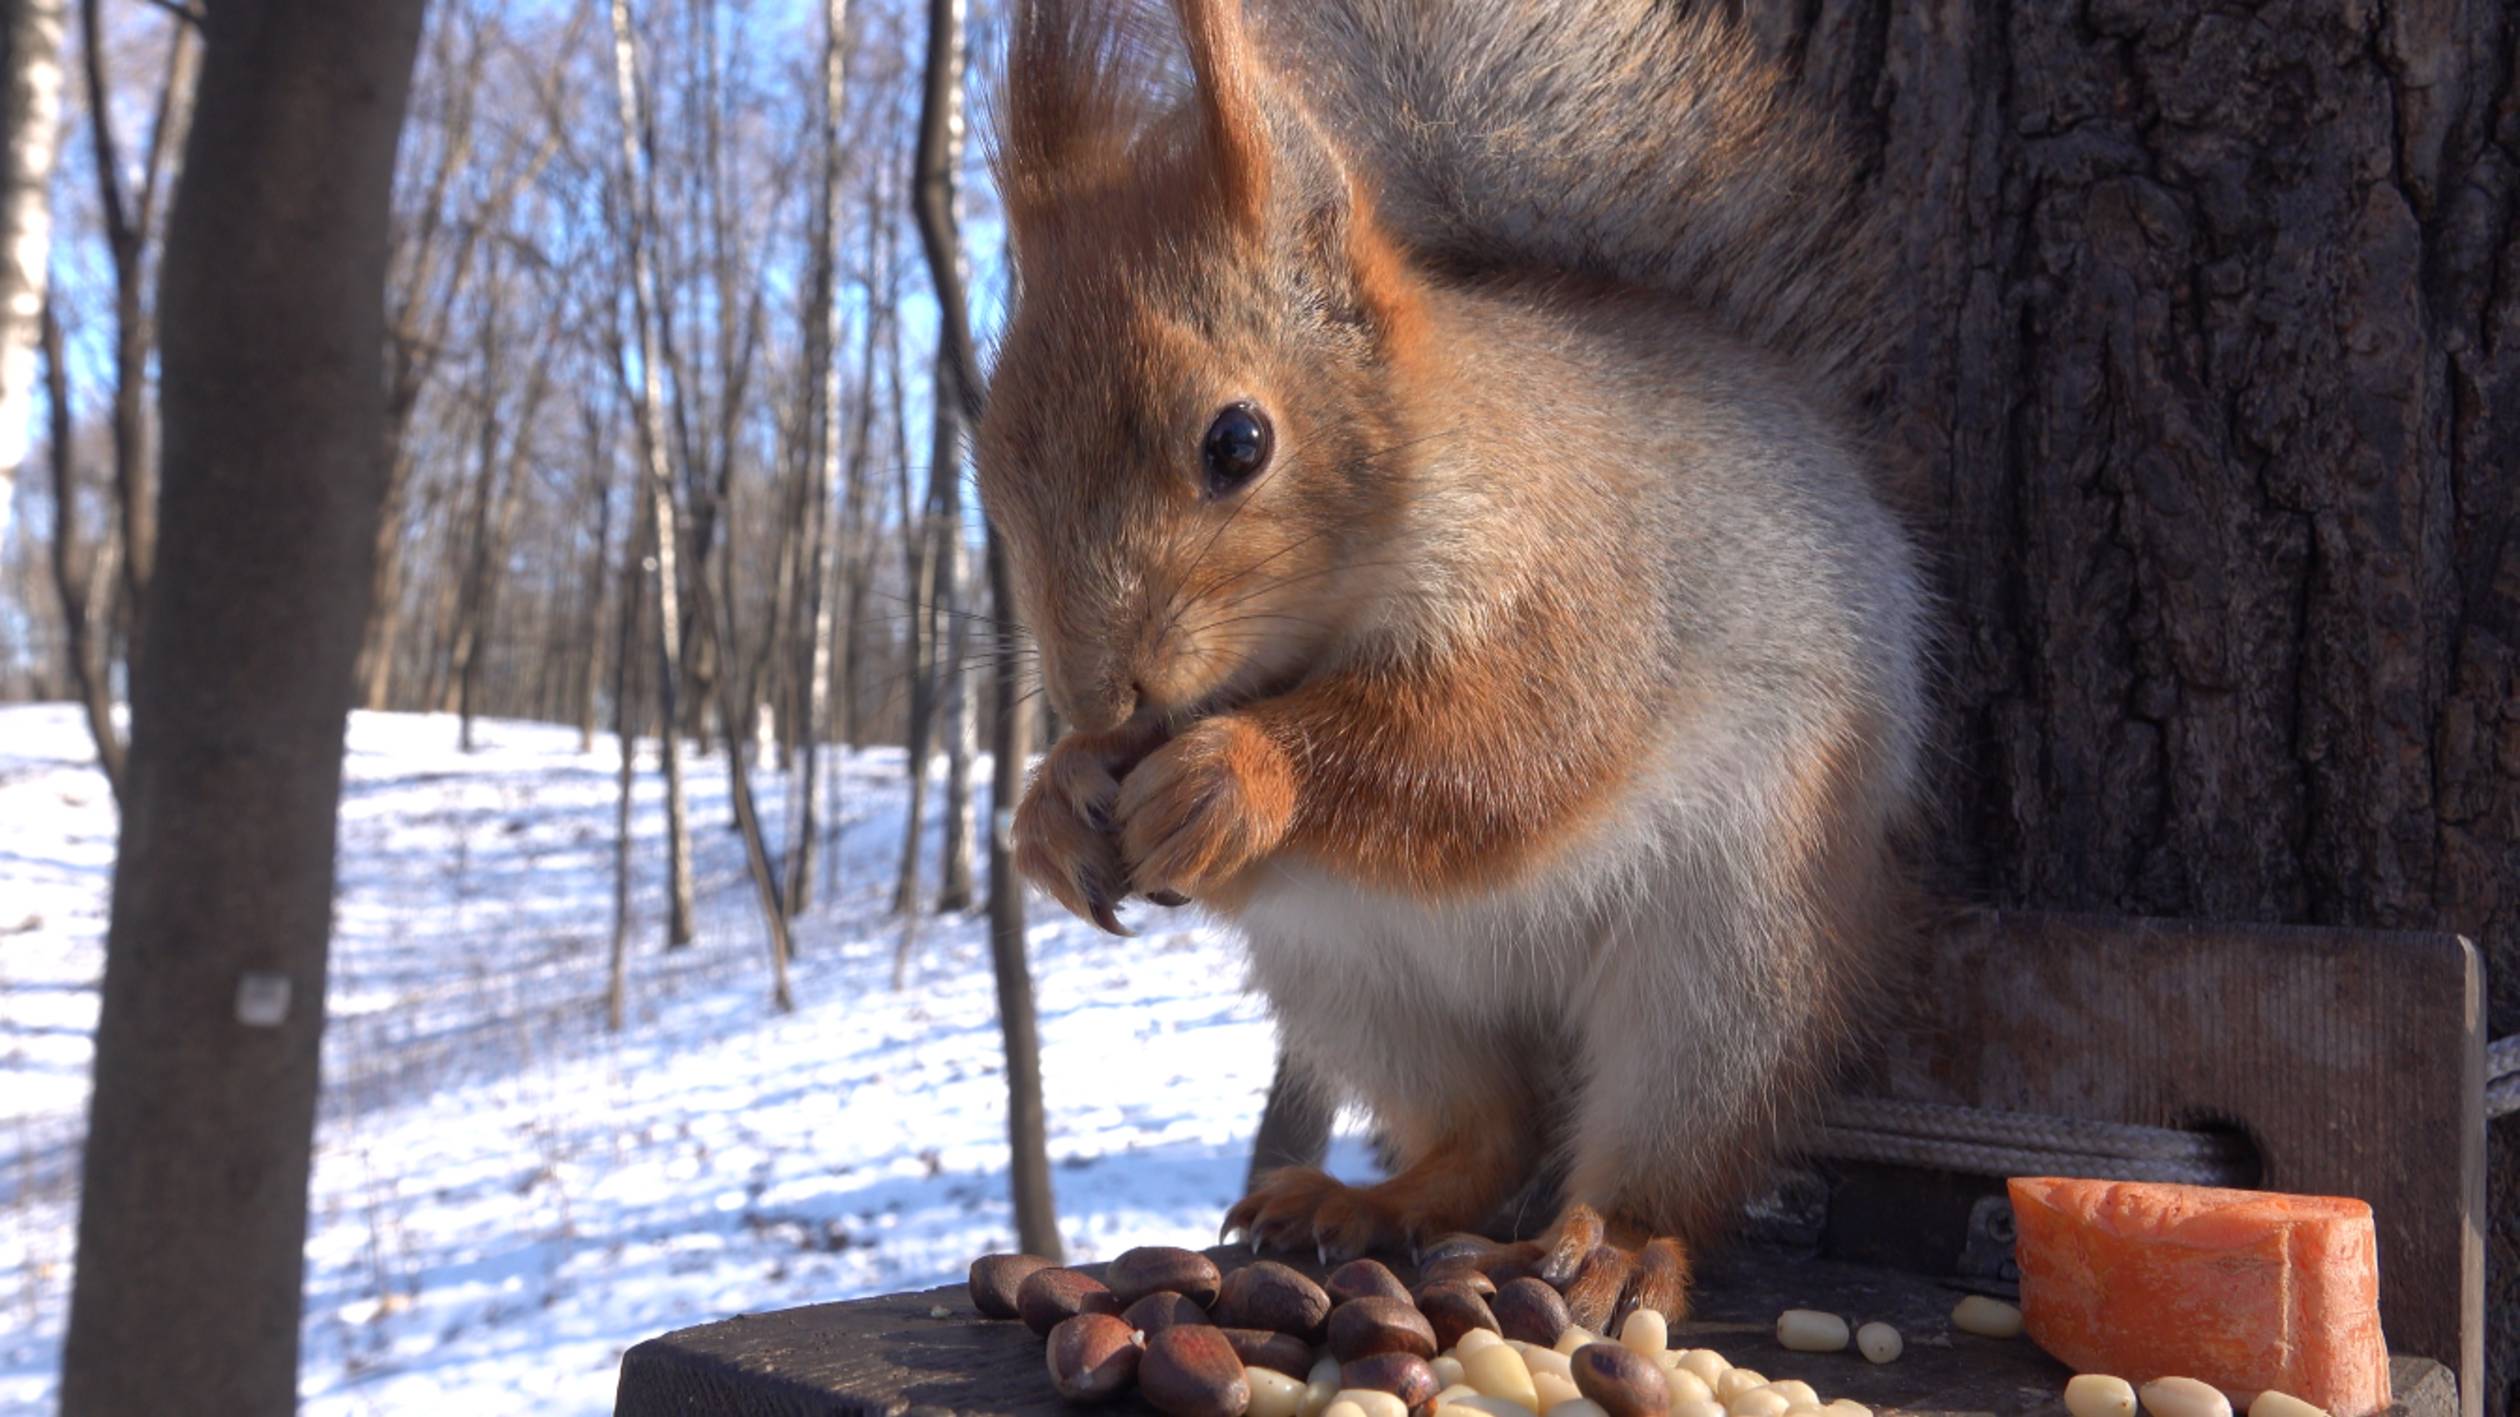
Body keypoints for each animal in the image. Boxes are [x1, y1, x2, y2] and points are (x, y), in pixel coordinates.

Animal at [982, 0, 1925, 1321]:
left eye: (1239, 442)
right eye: (992, 448)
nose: (1098, 695)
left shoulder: (1585, 596)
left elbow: (1499, 756)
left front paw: (1233, 778)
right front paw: (1055, 804)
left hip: (1731, 956)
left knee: (1670, 1138)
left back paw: (1617, 1241)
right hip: (1356, 985)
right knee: (1488, 1129)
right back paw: (1365, 1200)